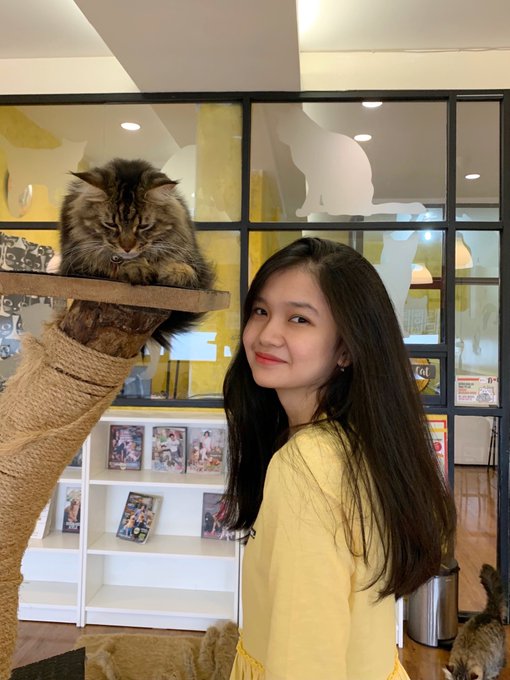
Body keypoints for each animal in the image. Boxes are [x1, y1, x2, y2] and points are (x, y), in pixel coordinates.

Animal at [58, 157, 215, 346]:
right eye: (111, 225)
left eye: (143, 226)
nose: (127, 247)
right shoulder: (77, 266)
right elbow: (116, 266)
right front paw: (136, 269)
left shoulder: (198, 268)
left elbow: (184, 269)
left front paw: (171, 274)